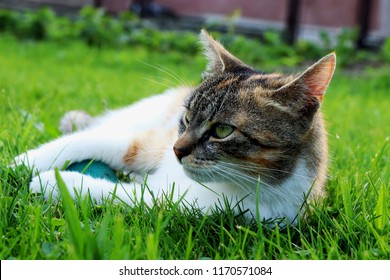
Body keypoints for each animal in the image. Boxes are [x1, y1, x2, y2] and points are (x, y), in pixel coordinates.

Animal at [13, 29, 336, 224]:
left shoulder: (192, 209)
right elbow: (94, 142)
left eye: (223, 130)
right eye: (188, 117)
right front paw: (22, 162)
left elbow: (129, 197)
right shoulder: (149, 141)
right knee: (101, 126)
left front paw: (58, 182)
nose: (177, 151)